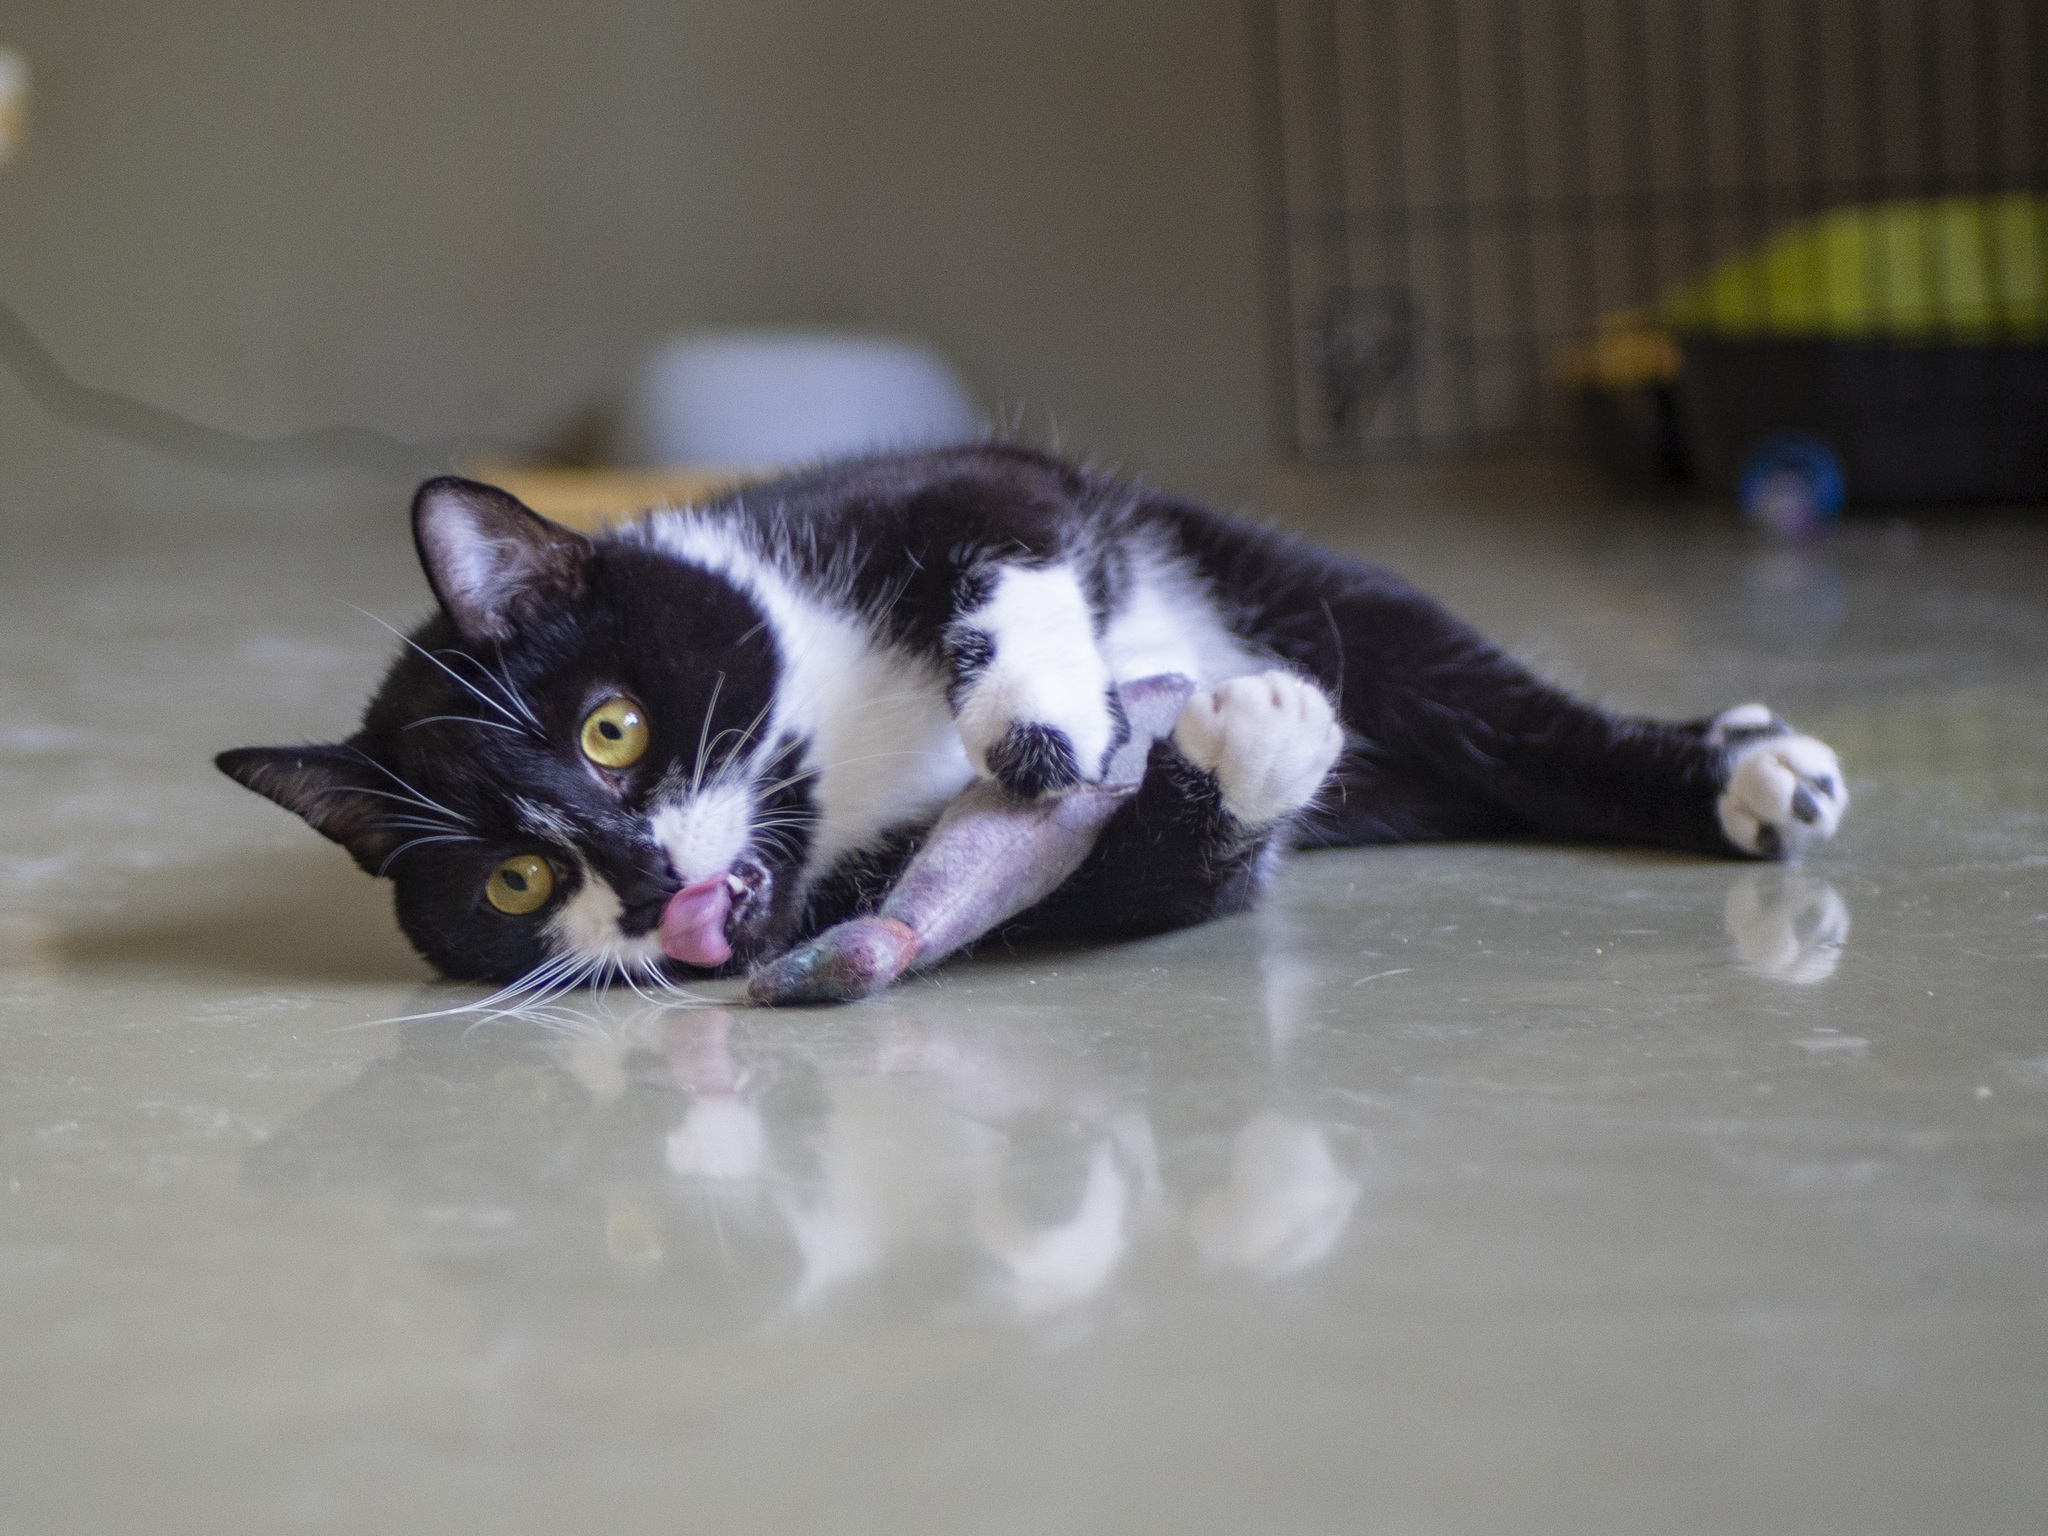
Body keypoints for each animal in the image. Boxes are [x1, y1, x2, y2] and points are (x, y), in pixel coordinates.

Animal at [216, 444, 1851, 991]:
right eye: (514, 881)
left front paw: (1040, 715)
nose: (639, 878)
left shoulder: (948, 481)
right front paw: (1252, 745)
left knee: (1498, 708)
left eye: (610, 730)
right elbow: (1153, 883)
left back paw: (1746, 771)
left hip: (1299, 577)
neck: (839, 750)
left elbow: (1001, 539)